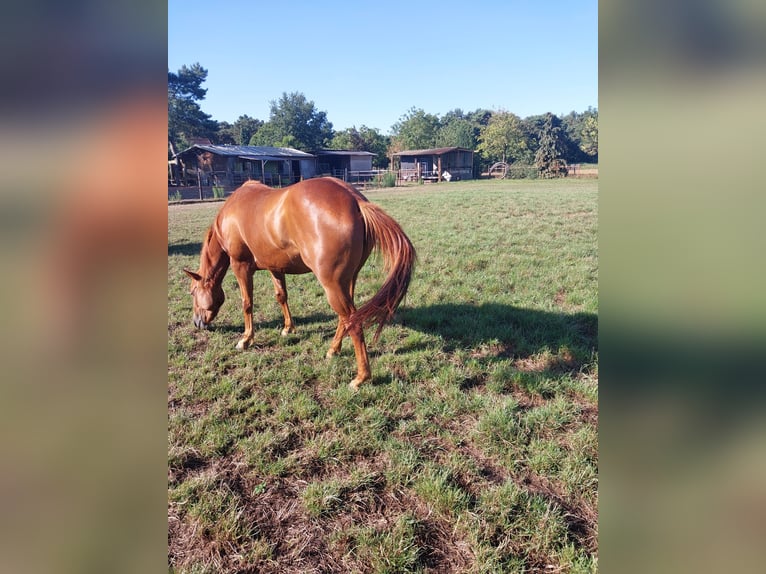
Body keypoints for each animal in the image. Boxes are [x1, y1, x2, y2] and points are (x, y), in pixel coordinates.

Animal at [183, 176, 415, 389]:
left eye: (193, 292)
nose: (197, 322)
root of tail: (355, 201)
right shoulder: (275, 267)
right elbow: (281, 296)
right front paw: (288, 328)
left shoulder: (241, 266)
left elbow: (246, 303)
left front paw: (246, 339)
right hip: (347, 281)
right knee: (347, 318)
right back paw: (333, 350)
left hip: (332, 285)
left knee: (354, 323)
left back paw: (360, 378)